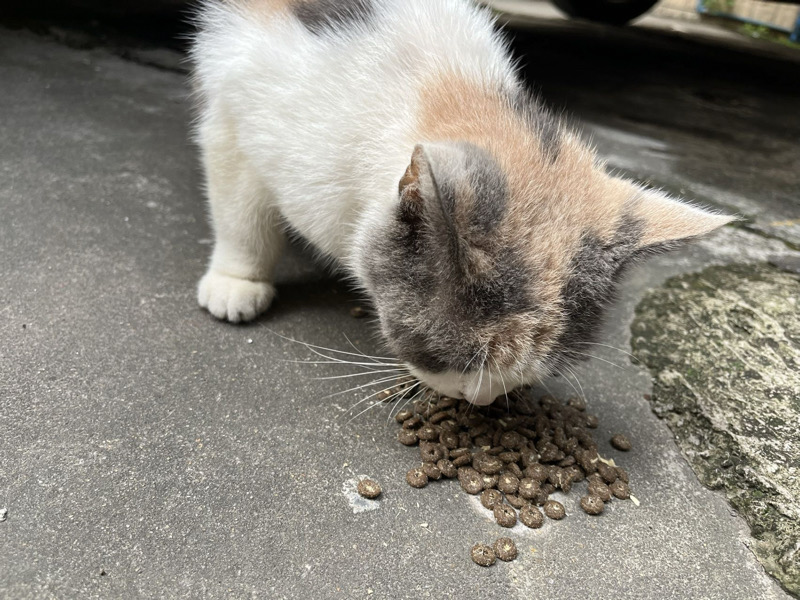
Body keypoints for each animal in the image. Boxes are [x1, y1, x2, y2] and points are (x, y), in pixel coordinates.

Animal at [191, 0, 736, 406]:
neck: (443, 84)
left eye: (530, 373)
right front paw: (238, 282)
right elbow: (240, 207)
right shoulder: (240, 104)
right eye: (455, 359)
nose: (479, 401)